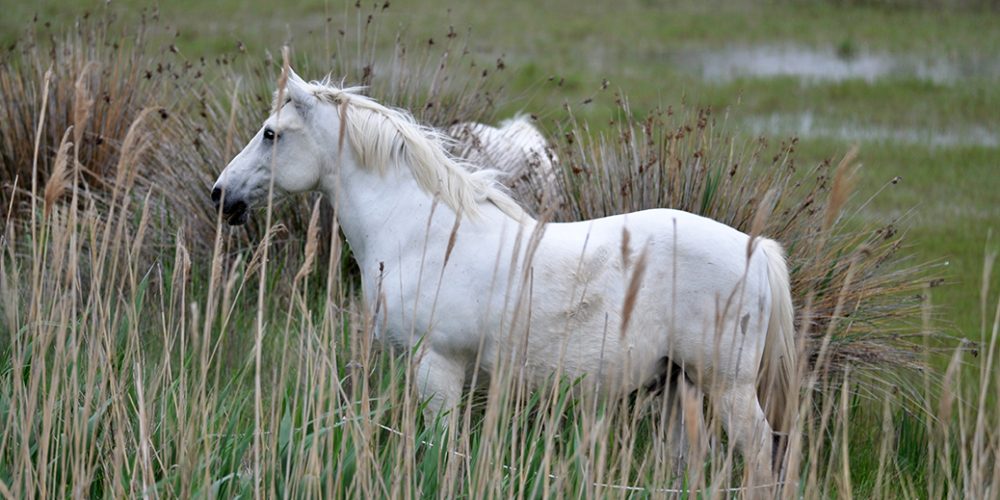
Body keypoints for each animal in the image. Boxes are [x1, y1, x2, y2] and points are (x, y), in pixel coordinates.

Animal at [211, 69, 797, 479]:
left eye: (270, 134)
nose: (221, 194)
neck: (420, 233)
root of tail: (757, 250)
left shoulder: (437, 369)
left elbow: (442, 451)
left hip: (727, 387)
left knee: (761, 453)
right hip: (681, 385)